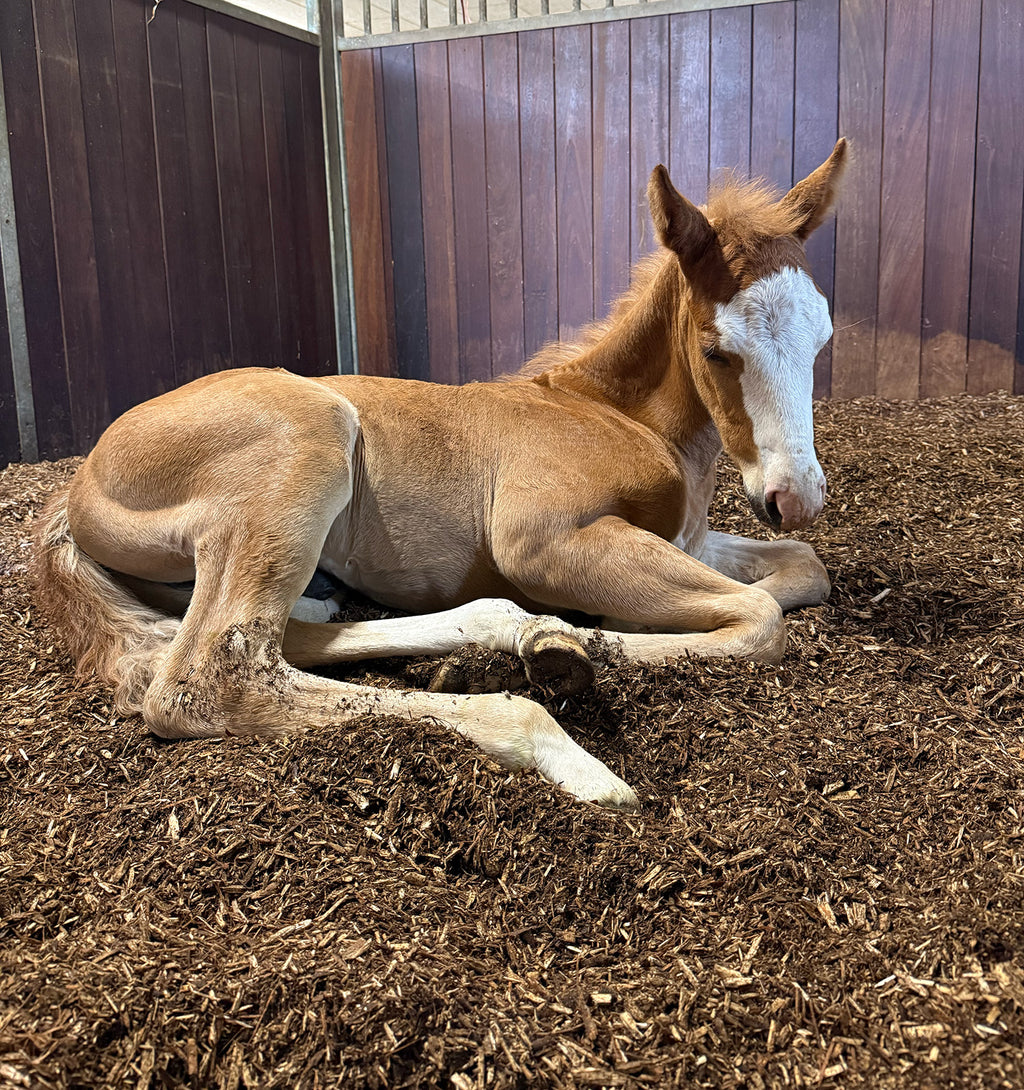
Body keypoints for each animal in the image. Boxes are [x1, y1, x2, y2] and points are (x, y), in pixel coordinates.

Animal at [32, 140, 847, 811]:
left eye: (822, 336)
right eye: (716, 348)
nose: (796, 496)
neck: (614, 413)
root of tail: (77, 488)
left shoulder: (692, 540)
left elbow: (802, 571)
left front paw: (559, 636)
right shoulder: (542, 541)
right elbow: (758, 618)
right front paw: (576, 643)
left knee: (287, 634)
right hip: (305, 451)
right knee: (210, 677)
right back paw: (551, 719)